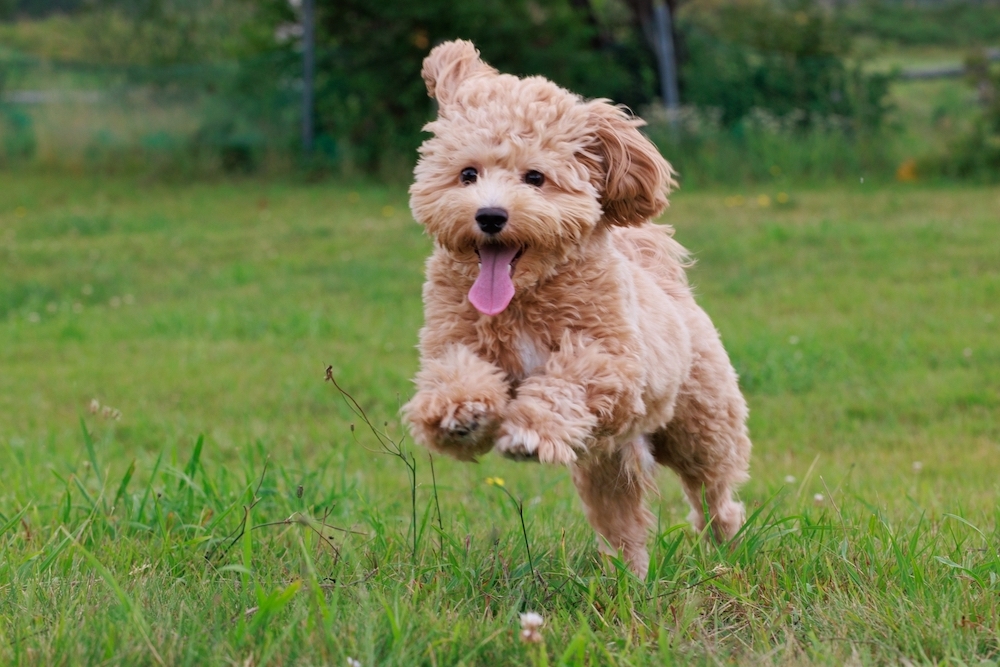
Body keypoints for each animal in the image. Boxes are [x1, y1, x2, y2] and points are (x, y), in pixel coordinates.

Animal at [400, 39, 752, 576]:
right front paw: (461, 415)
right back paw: (628, 577)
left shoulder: (612, 363)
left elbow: (566, 382)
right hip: (607, 463)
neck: (524, 297)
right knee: (623, 522)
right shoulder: (452, 343)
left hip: (702, 425)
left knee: (715, 491)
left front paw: (527, 433)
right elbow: (456, 375)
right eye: (467, 174)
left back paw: (726, 542)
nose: (490, 215)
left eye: (535, 177)